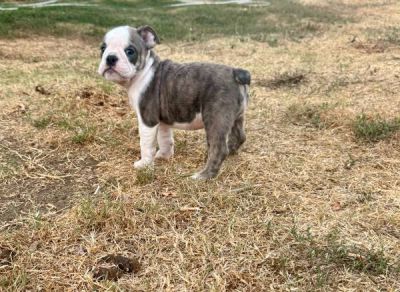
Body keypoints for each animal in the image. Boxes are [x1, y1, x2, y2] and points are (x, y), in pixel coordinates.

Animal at [98, 26, 250, 179]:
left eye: (130, 51)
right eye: (102, 48)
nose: (110, 58)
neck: (144, 72)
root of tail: (235, 72)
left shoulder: (148, 120)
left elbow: (146, 144)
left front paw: (144, 164)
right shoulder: (163, 121)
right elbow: (165, 138)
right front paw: (164, 155)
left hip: (216, 119)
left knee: (219, 149)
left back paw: (203, 176)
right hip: (236, 117)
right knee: (240, 136)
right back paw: (230, 151)